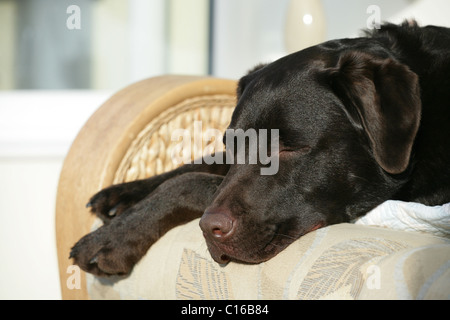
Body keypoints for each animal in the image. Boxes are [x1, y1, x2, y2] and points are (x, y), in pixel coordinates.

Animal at [70, 22, 450, 276]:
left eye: (291, 148)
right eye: (234, 144)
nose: (209, 229)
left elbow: (192, 182)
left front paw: (111, 238)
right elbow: (202, 164)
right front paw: (124, 194)